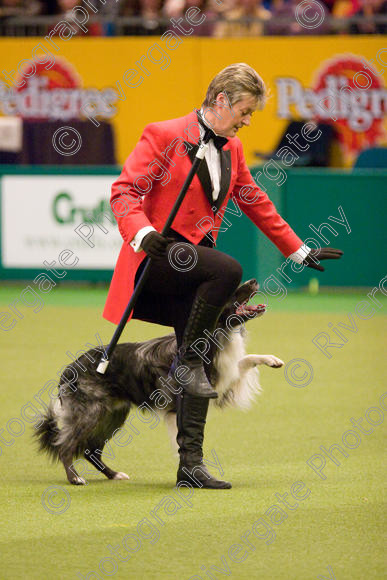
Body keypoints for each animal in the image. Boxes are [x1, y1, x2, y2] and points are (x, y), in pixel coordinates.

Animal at [35, 280, 284, 484]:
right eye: (233, 290)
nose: (254, 281)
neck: (216, 332)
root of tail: (69, 369)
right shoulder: (180, 404)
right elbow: (182, 440)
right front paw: (192, 473)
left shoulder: (222, 380)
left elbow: (246, 359)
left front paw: (272, 359)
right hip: (91, 413)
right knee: (65, 445)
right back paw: (74, 478)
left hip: (113, 414)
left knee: (91, 450)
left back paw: (113, 474)